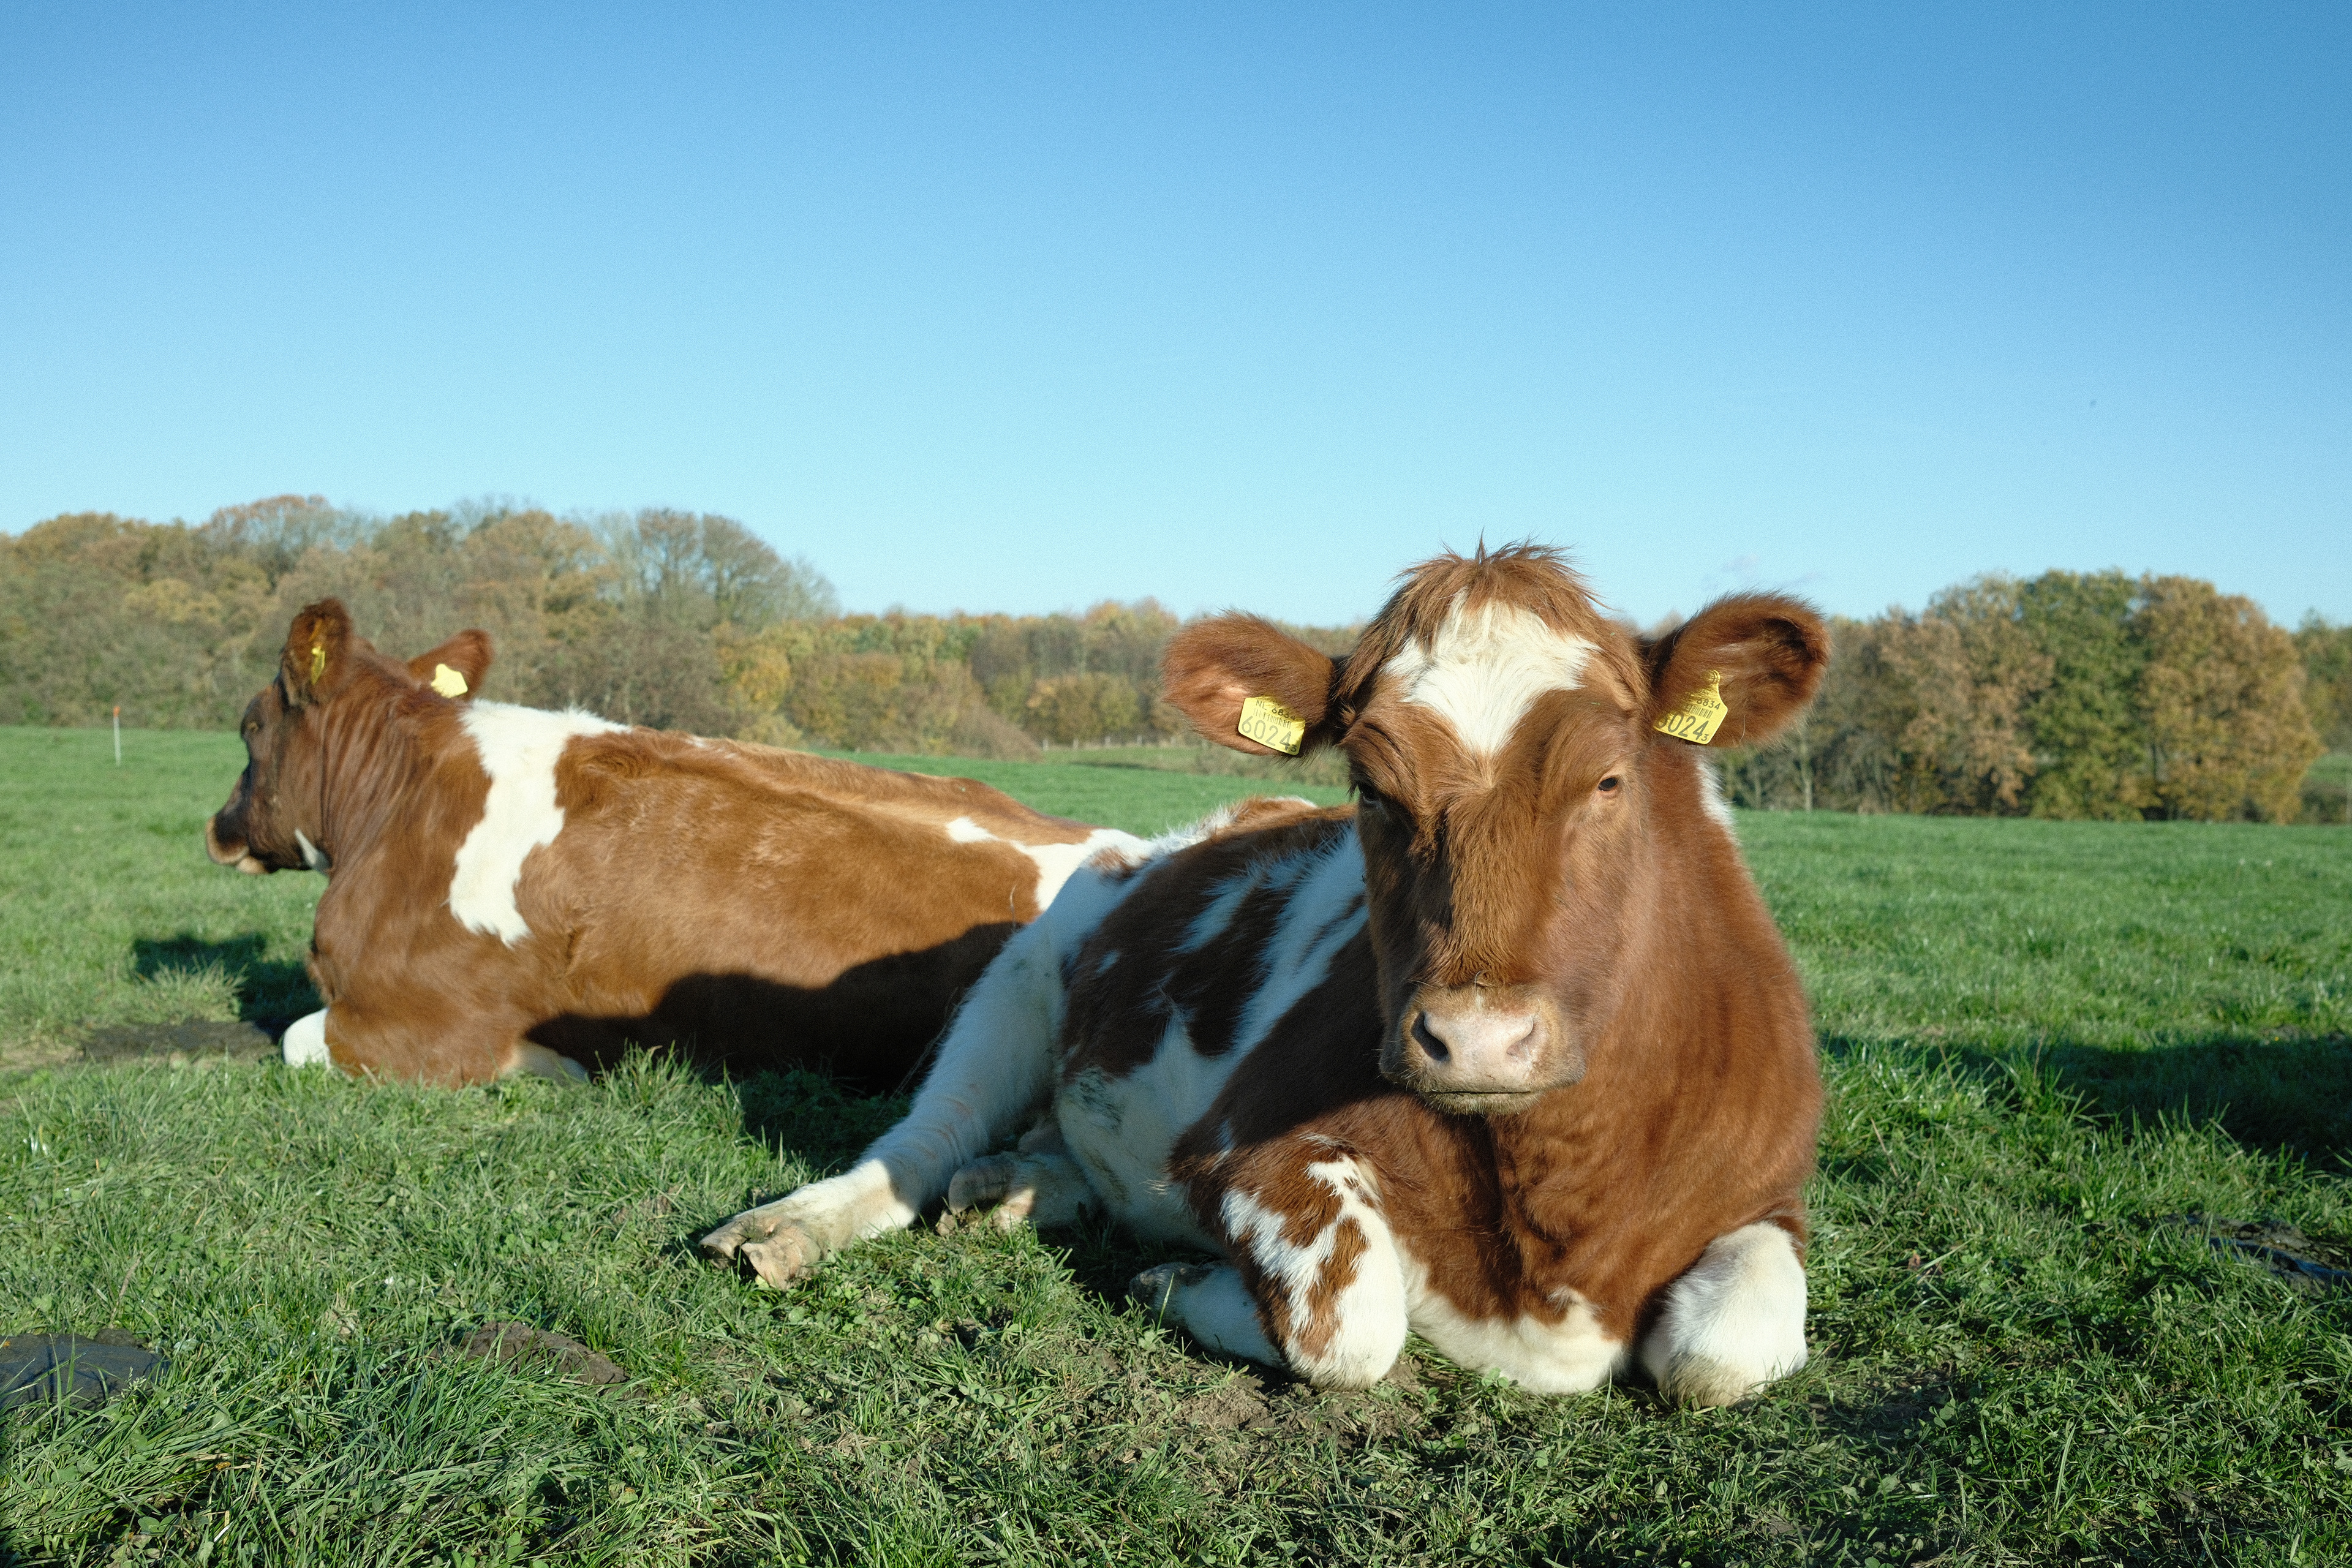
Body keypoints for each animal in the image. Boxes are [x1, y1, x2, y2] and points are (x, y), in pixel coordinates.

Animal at [701, 546, 1829, 1405]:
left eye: (1609, 779)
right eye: (1369, 788)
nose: (1473, 1040)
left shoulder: (1769, 1191)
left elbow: (1725, 1352)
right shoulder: (1235, 1151)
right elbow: (1354, 1324)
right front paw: (1178, 1281)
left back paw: (1015, 1190)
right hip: (1018, 977)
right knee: (920, 1144)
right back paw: (789, 1229)